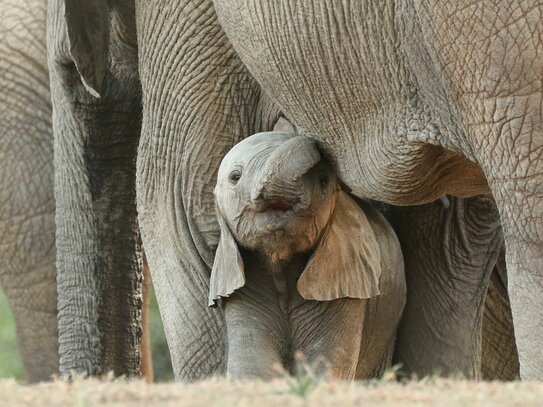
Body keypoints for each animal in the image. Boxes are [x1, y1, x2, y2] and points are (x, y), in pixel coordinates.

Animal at [210, 130, 406, 380]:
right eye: (235, 177)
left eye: (323, 181)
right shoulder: (242, 289)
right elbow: (252, 367)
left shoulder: (345, 284)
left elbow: (326, 363)